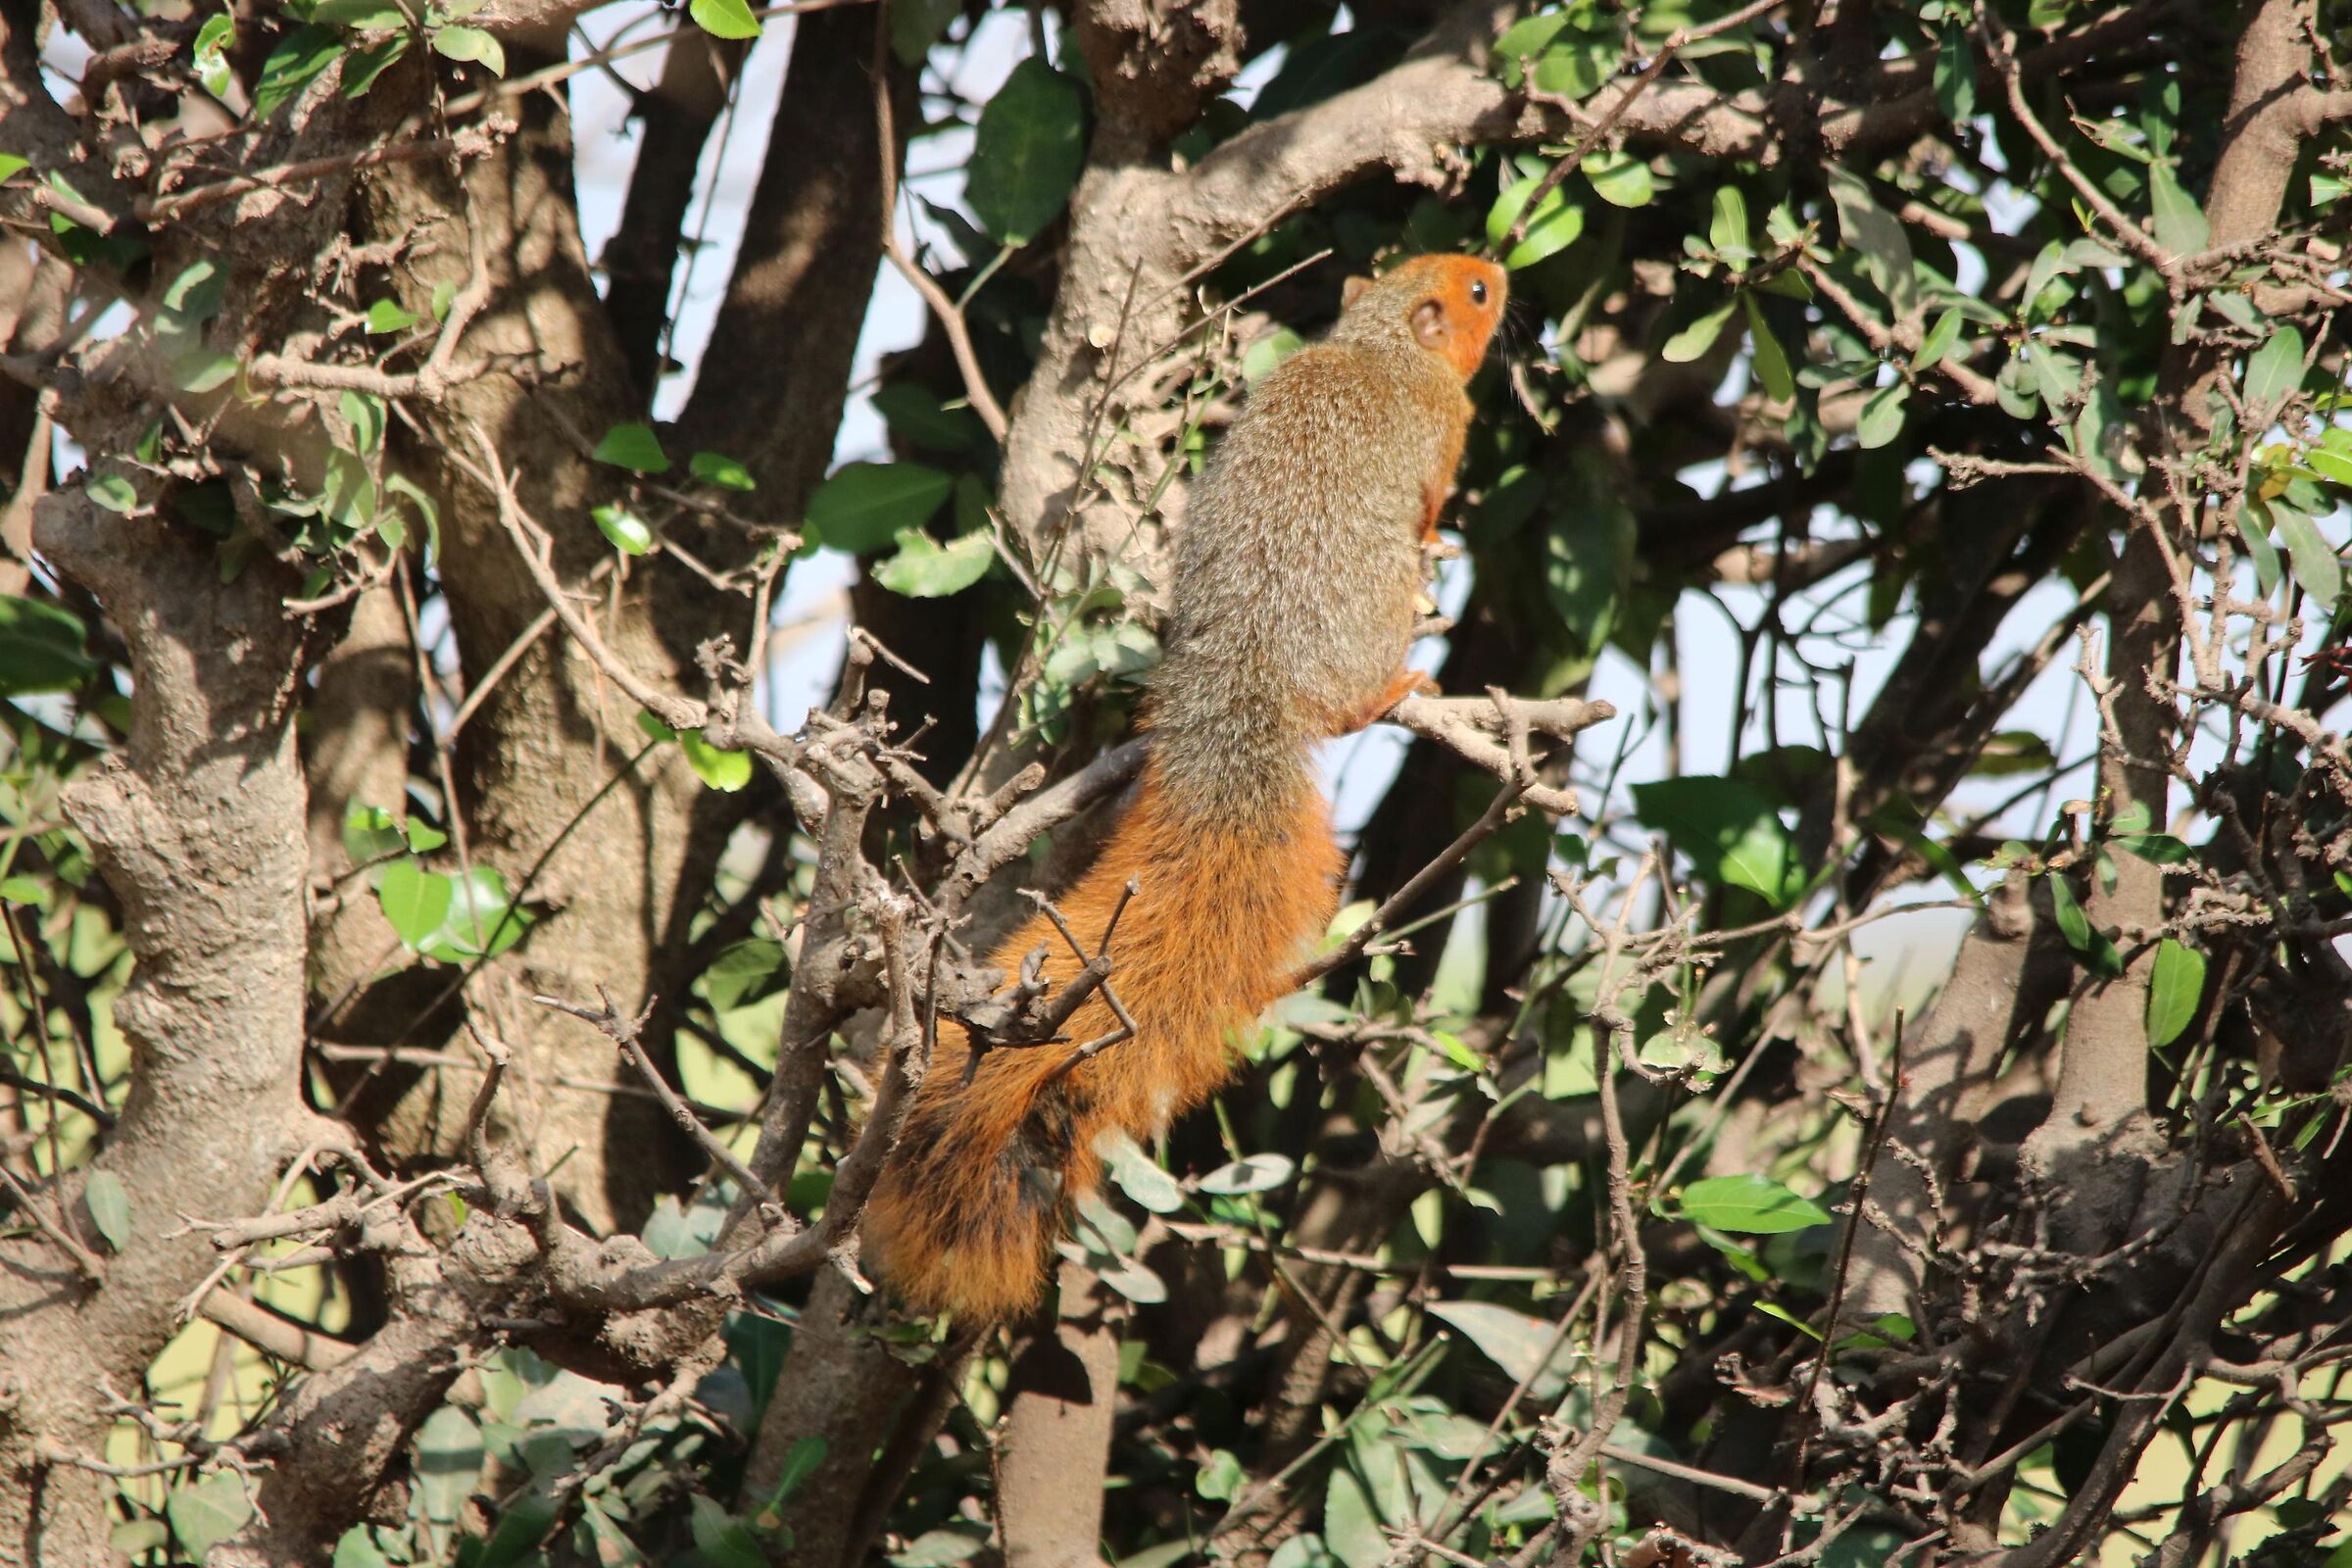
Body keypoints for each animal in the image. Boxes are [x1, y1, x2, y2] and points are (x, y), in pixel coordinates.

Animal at [865, 254, 1509, 1321]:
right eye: (1474, 295)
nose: (1497, 264)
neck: (1379, 342)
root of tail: (1250, 674)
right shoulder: (1443, 430)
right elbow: (1432, 495)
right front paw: (1443, 548)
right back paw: (1398, 681)